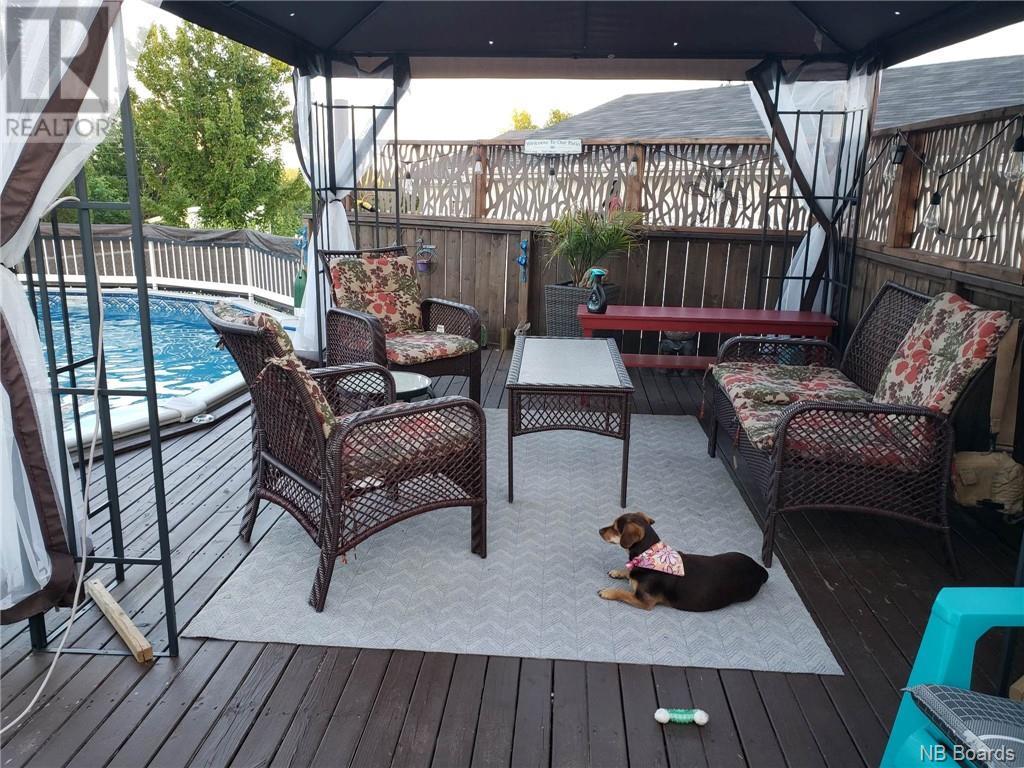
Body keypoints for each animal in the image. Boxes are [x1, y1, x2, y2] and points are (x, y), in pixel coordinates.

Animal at [598, 512, 768, 612]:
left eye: (615, 528)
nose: (599, 530)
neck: (647, 555)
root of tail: (759, 569)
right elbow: (628, 571)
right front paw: (618, 572)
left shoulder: (644, 601)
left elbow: (622, 593)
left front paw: (607, 592)